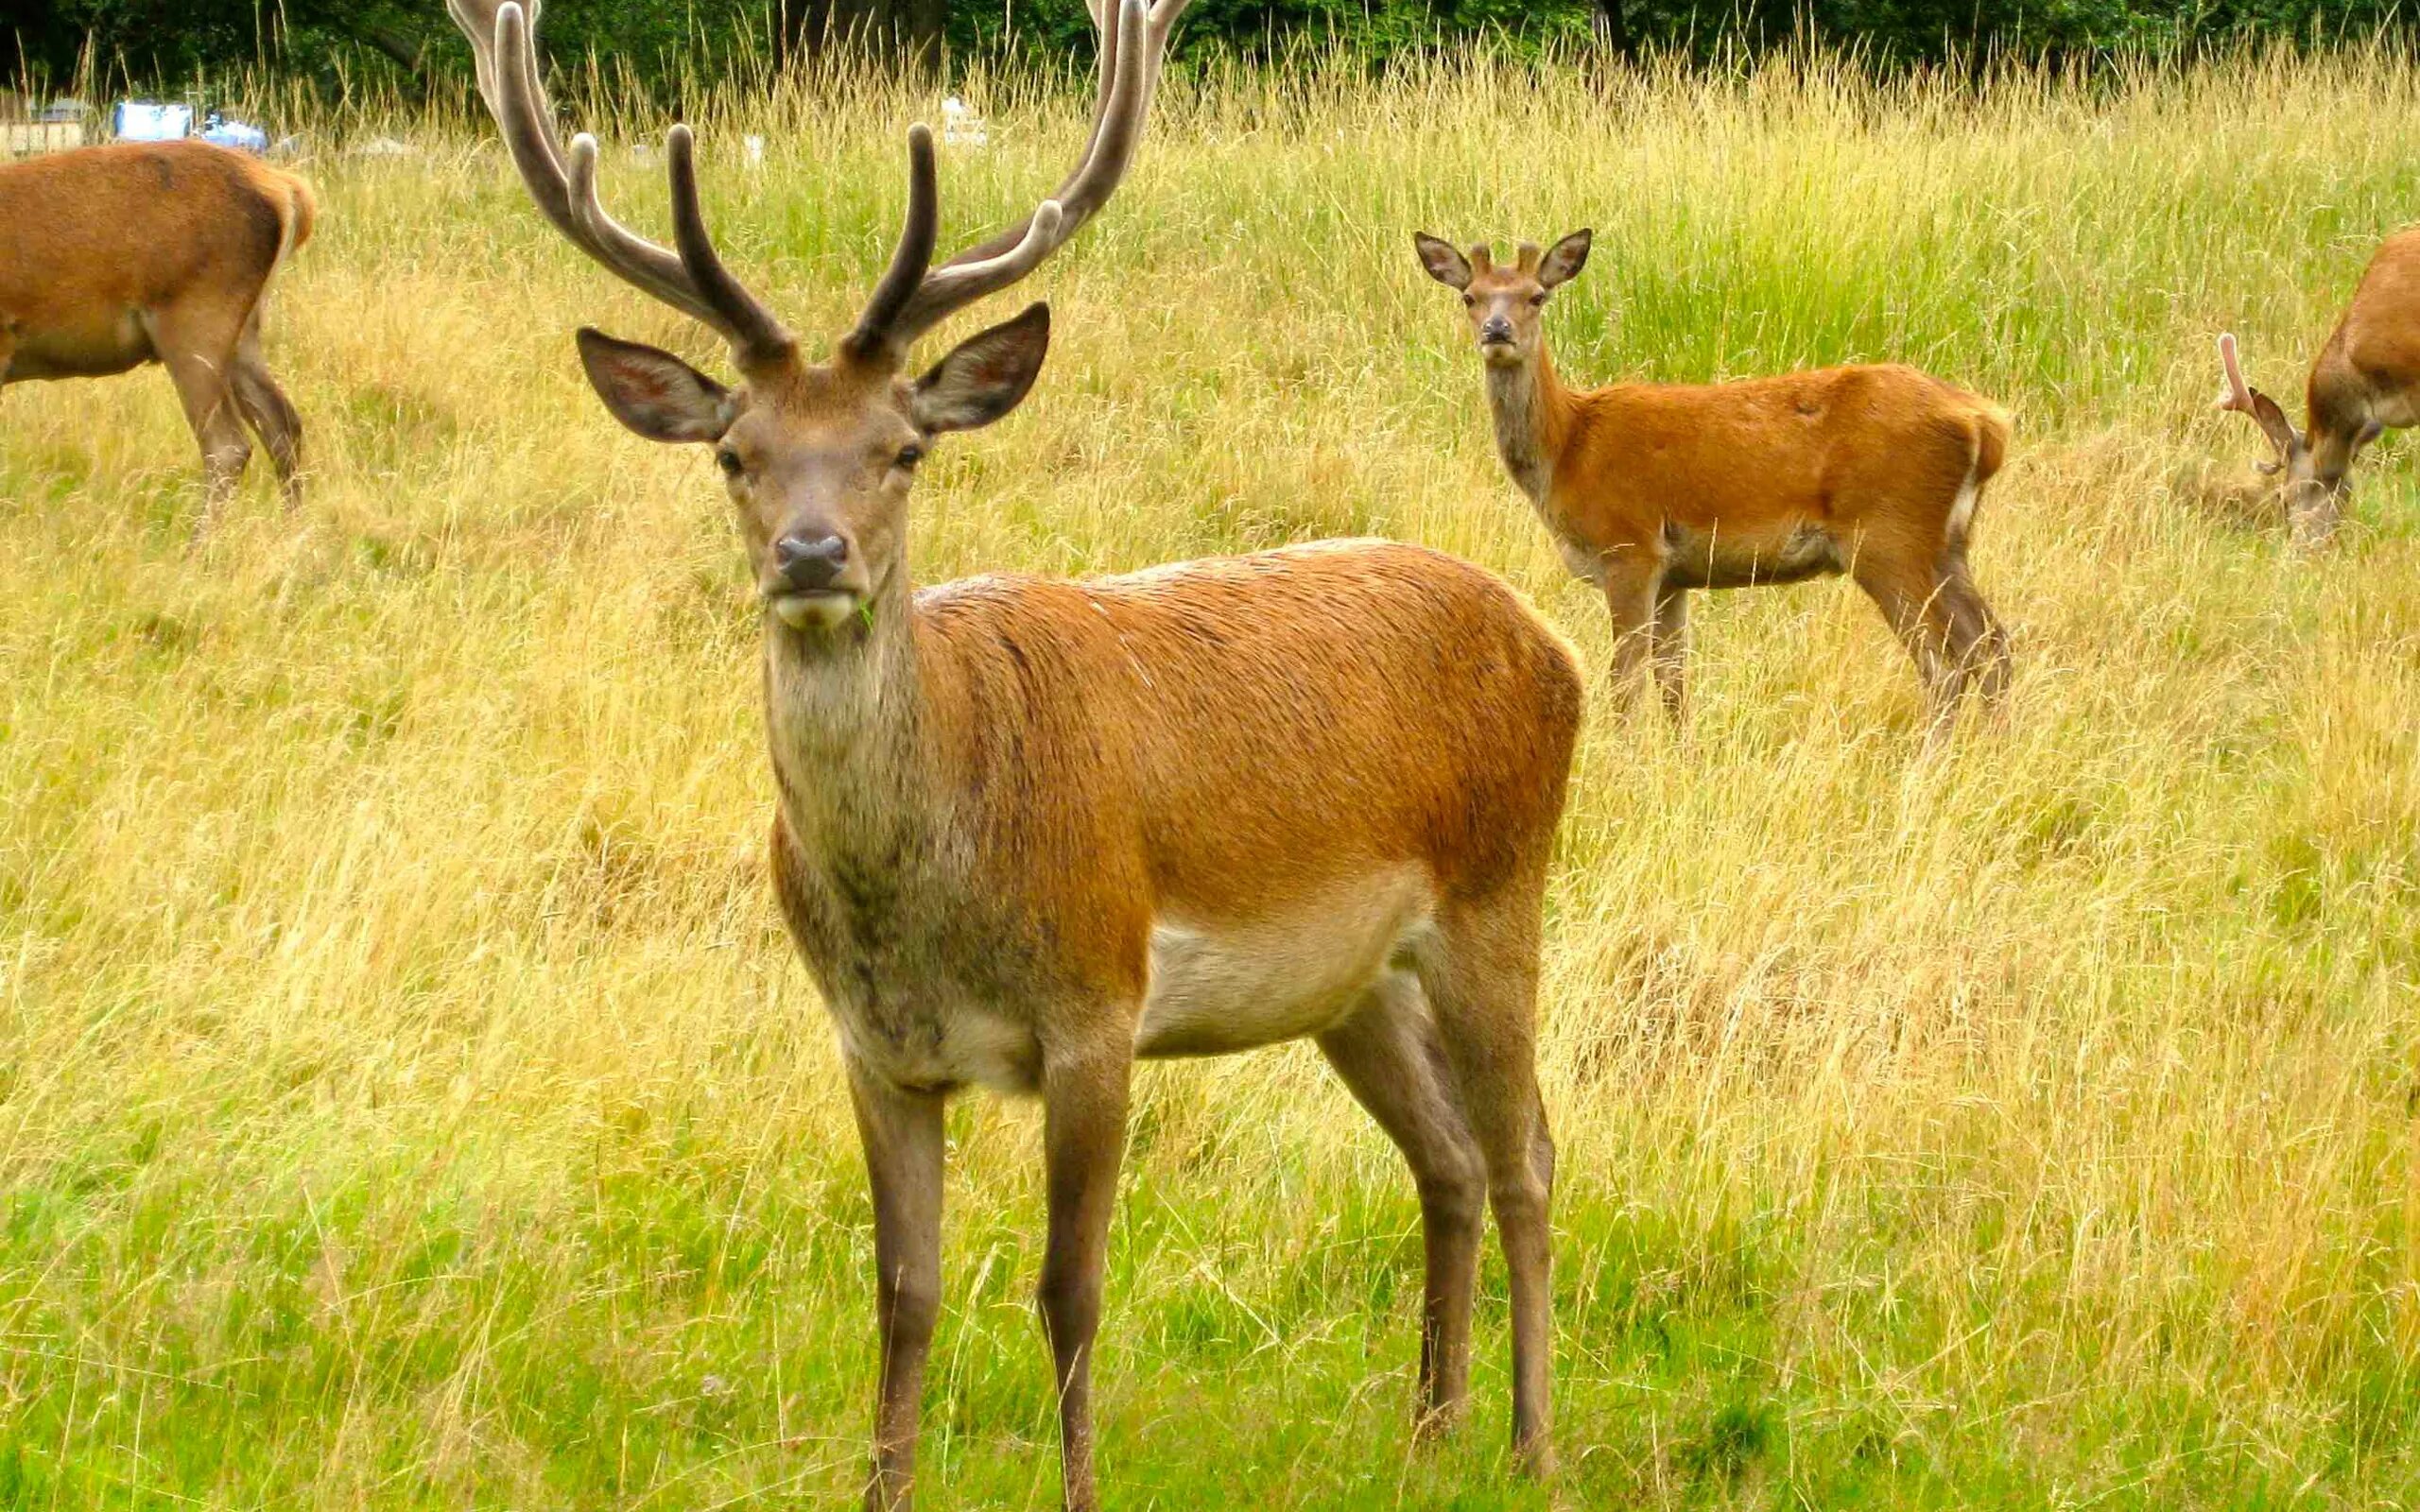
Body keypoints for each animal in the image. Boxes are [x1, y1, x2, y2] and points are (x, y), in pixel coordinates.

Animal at [1, 138, 317, 524]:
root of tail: (286, 189)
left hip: (197, 317)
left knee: (227, 444)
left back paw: (201, 539)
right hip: (245, 331)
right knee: (281, 421)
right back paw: (293, 528)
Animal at [450, 6, 1587, 1500]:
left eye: (903, 449)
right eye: (735, 454)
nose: (812, 555)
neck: (928, 896)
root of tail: (1551, 642)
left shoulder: (1096, 1006)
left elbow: (1070, 1289)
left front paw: (1082, 1486)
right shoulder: (872, 1045)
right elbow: (903, 1291)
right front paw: (881, 1484)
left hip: (1500, 894)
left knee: (1530, 1155)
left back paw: (1528, 1440)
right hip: (1351, 982)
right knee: (1447, 1159)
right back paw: (1428, 1430)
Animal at [1413, 227, 2013, 730]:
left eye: (1537, 295)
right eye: (1470, 297)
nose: (1497, 331)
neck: (1568, 450)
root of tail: (1984, 422)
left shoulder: (1630, 546)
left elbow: (1626, 681)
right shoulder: (1675, 574)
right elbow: (1673, 680)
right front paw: (1681, 754)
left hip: (1887, 533)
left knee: (1944, 663)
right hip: (1946, 542)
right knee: (1992, 645)